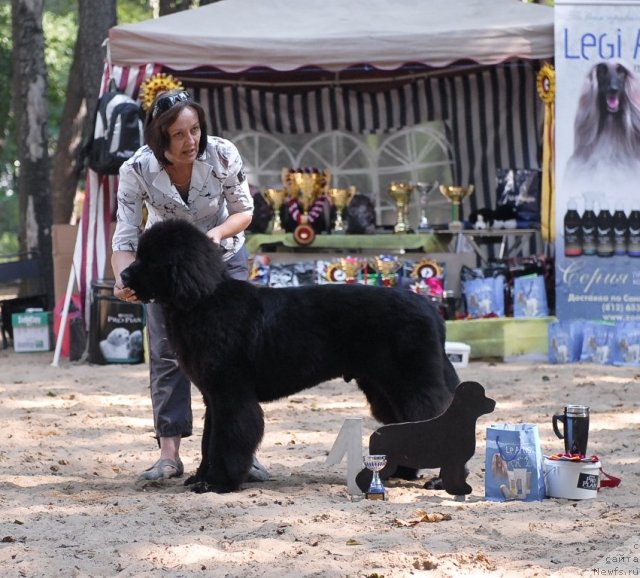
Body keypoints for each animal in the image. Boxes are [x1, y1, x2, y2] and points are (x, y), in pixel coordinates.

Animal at [121, 218, 460, 492]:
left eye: (150, 259)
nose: (123, 275)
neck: (204, 301)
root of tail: (431, 309)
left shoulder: (232, 394)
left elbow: (228, 438)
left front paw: (218, 483)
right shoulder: (213, 397)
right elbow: (209, 440)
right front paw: (202, 477)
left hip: (411, 384)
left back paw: (440, 481)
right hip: (384, 389)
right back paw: (402, 472)